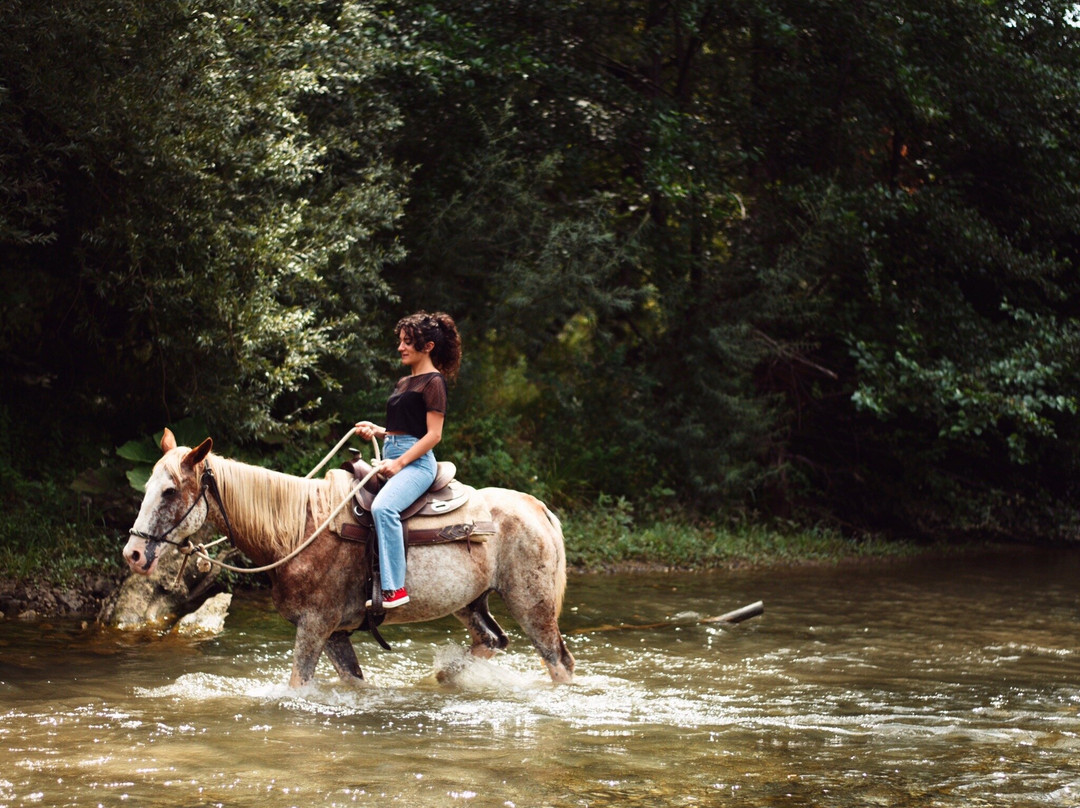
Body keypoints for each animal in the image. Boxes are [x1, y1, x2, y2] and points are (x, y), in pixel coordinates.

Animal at [121, 425, 574, 687]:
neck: (298, 532)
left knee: (559, 664)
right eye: (148, 486)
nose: (134, 553)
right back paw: (447, 675)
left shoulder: (315, 626)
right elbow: (355, 685)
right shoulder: (336, 634)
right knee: (493, 640)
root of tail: (538, 507)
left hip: (532, 605)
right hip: (471, 602)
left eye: (169, 491)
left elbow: (298, 685)